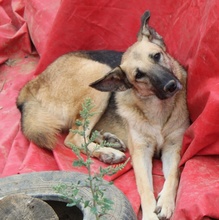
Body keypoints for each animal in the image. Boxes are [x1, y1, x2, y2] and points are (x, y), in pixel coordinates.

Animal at [17, 11, 189, 220]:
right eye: (139, 75)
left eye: (157, 56)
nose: (170, 86)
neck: (158, 110)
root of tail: (31, 84)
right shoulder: (141, 152)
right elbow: (145, 188)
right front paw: (149, 214)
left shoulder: (174, 147)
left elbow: (173, 175)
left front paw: (165, 201)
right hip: (98, 73)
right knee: (73, 138)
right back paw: (109, 152)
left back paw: (109, 142)